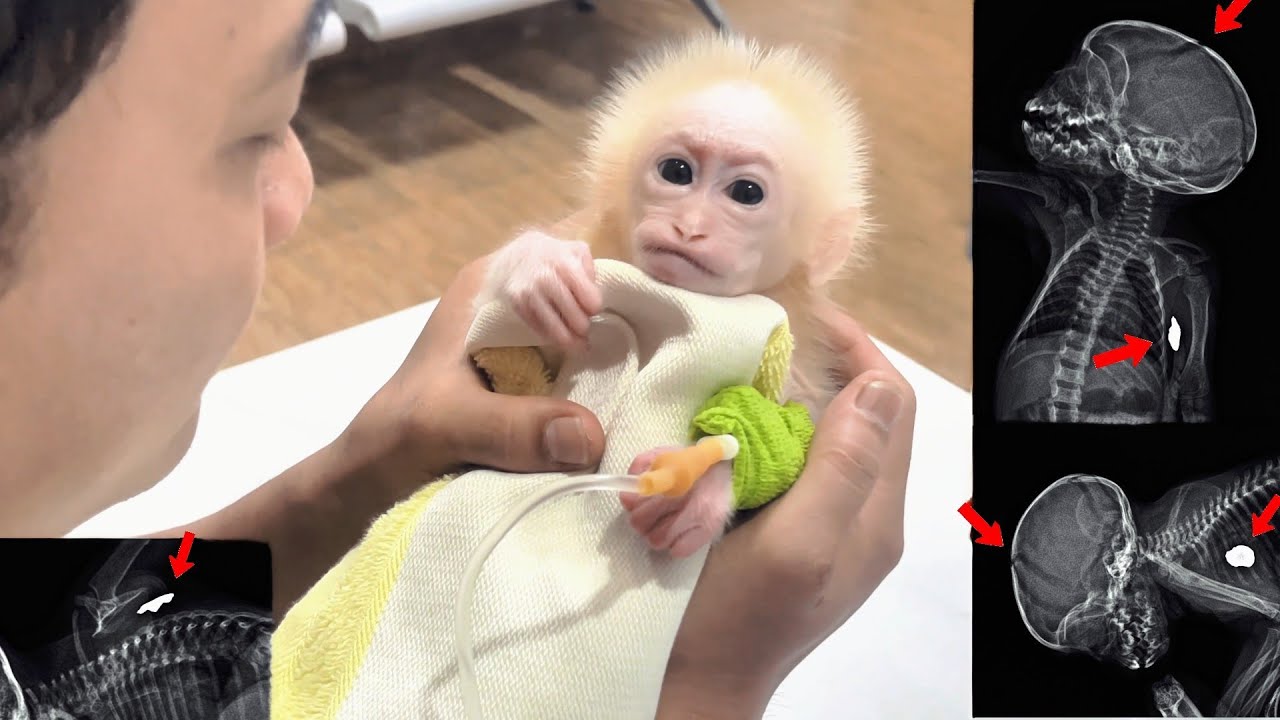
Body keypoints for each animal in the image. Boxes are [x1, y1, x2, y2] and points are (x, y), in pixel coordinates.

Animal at [477, 33, 871, 558]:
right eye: (677, 171)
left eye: (747, 193)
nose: (690, 227)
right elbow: (525, 360)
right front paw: (540, 266)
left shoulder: (801, 350)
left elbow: (791, 426)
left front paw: (700, 487)